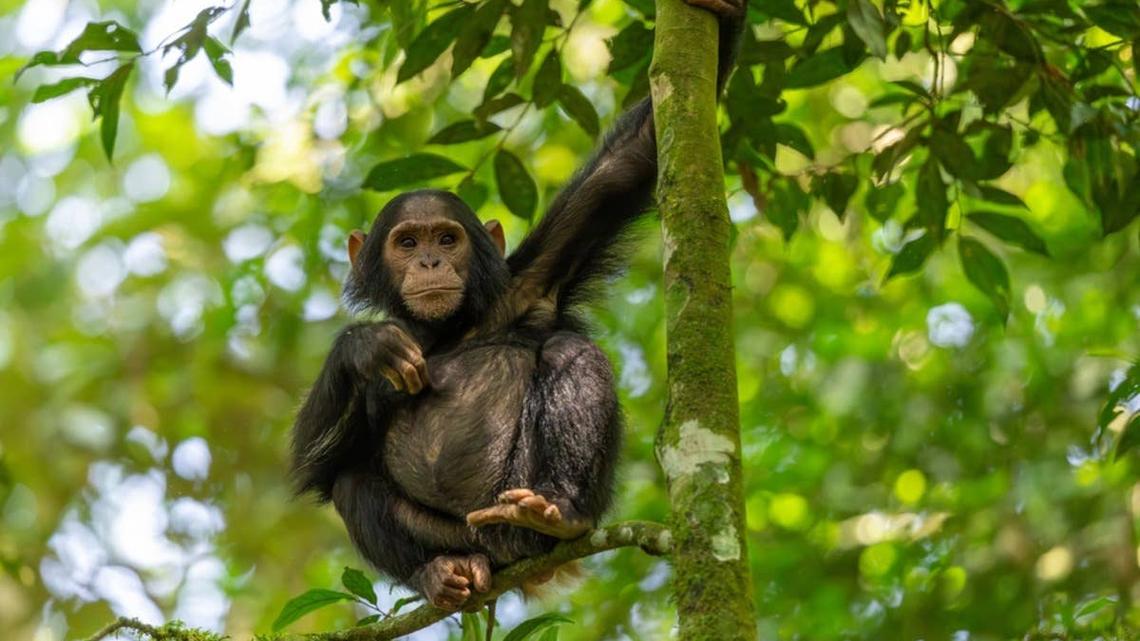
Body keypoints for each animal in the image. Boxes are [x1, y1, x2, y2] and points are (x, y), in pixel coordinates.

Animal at [291, 0, 744, 611]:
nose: (429, 261)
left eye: (447, 238)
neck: (447, 330)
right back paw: (442, 573)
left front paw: (725, 13)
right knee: (351, 482)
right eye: (407, 242)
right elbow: (314, 466)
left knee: (569, 352)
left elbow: (630, 160)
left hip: (515, 511)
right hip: (466, 535)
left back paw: (560, 512)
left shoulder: (536, 277)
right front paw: (365, 345)